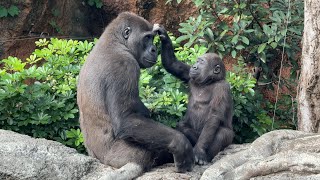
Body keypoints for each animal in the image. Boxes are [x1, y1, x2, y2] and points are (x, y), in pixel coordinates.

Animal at [76, 11, 194, 179]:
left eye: (153, 38)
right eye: (147, 38)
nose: (154, 49)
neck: (116, 42)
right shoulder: (125, 65)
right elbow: (126, 119)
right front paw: (179, 143)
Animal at [156, 25, 235, 165]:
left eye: (202, 62)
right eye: (197, 61)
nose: (195, 66)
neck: (209, 81)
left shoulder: (222, 88)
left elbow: (214, 116)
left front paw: (199, 151)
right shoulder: (189, 74)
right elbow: (172, 64)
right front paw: (164, 36)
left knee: (221, 133)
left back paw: (205, 156)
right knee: (182, 126)